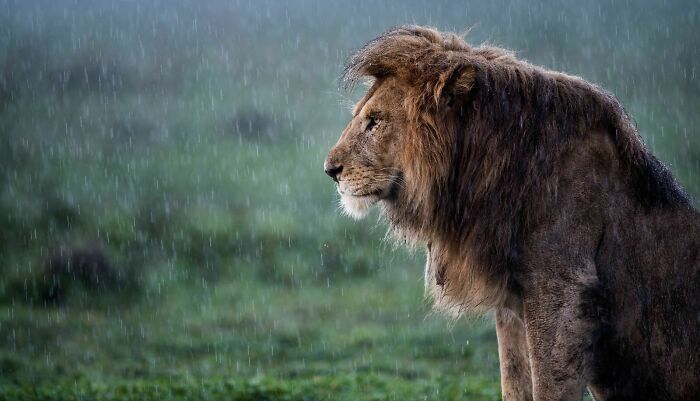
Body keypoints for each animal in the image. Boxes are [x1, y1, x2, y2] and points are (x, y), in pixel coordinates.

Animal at [326, 25, 700, 400]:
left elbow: (548, 387)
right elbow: (515, 381)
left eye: (374, 122)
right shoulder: (511, 301)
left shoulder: (560, 292)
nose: (330, 170)